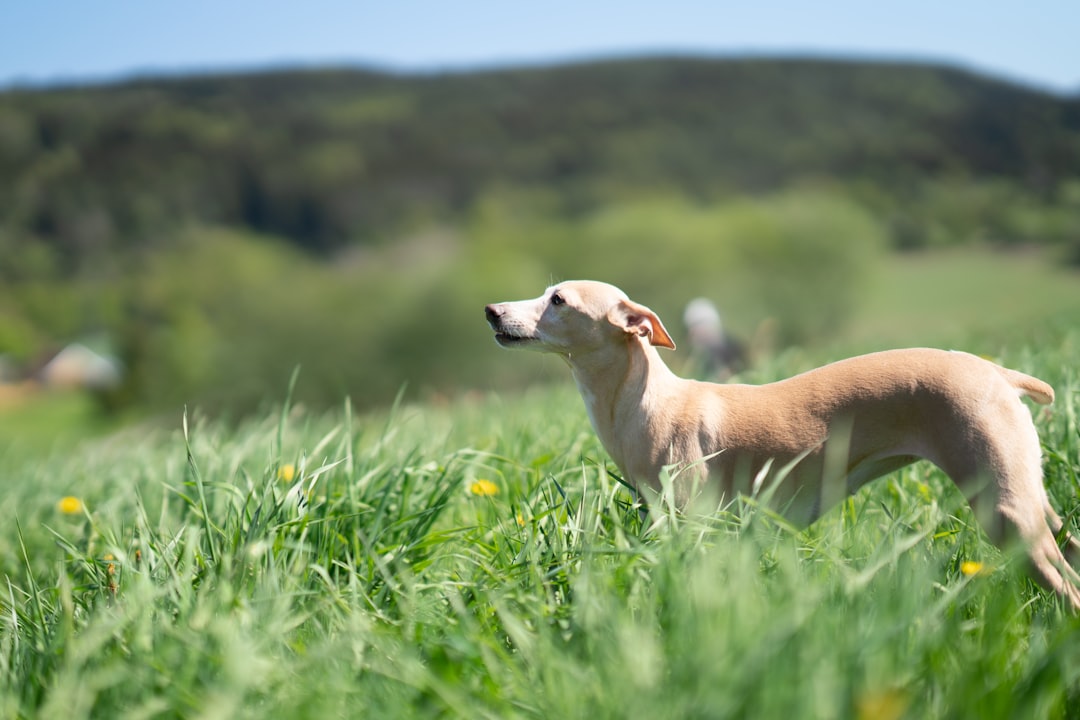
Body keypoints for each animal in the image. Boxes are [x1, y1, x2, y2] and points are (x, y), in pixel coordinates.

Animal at [490, 280, 1080, 608]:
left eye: (558, 299)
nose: (491, 311)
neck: (648, 403)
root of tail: (998, 373)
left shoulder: (695, 527)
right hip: (1031, 500)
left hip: (1005, 511)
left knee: (1066, 585)